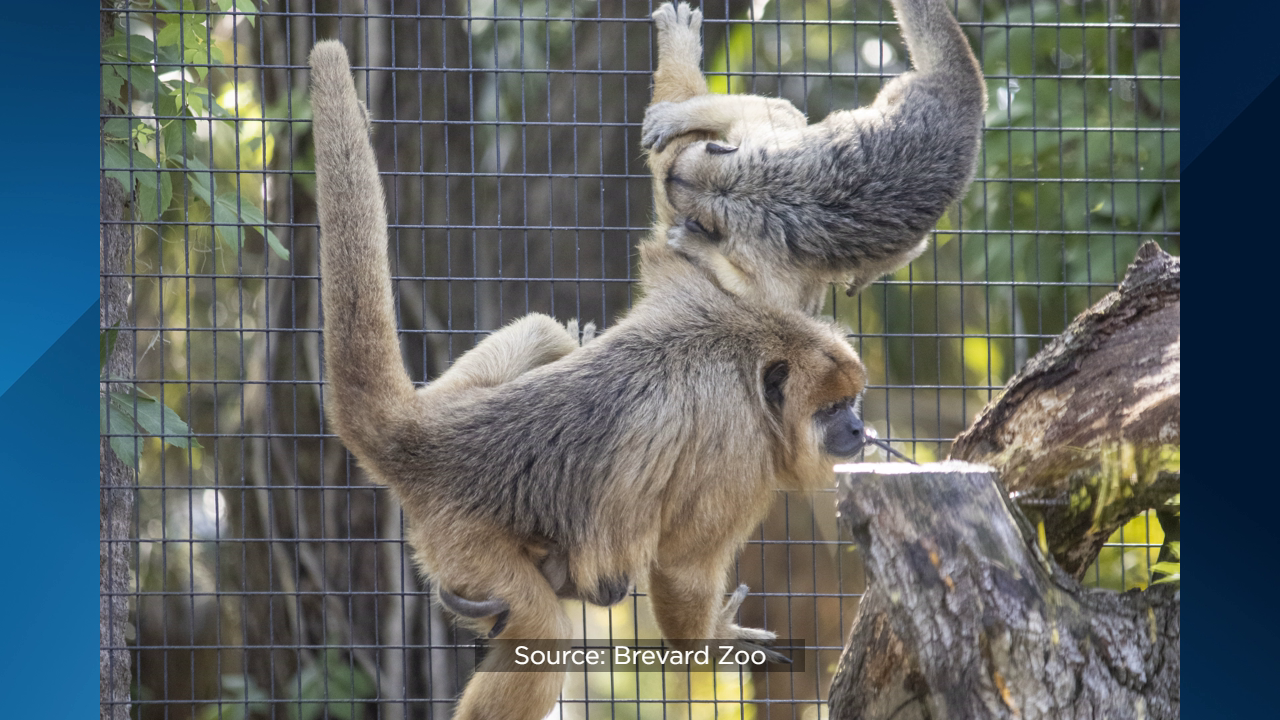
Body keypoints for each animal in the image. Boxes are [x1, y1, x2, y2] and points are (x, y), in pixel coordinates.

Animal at [311, 37, 870, 717]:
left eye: (855, 401)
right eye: (830, 410)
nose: (858, 429)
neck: (750, 351)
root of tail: (425, 434)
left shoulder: (722, 291)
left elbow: (686, 181)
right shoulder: (739, 456)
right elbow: (681, 567)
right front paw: (713, 643)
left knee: (545, 328)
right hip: (462, 537)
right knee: (543, 637)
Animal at [645, 0, 983, 311]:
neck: (731, 185)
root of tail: (959, 96)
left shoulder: (758, 243)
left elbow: (773, 299)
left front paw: (695, 244)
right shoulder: (759, 148)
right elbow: (777, 110)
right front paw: (676, 116)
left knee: (910, 246)